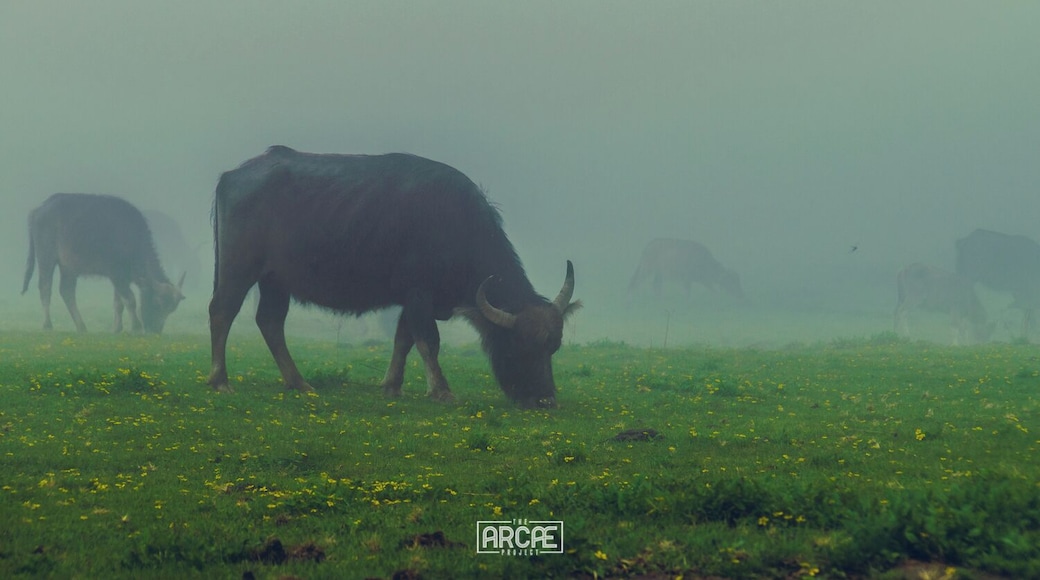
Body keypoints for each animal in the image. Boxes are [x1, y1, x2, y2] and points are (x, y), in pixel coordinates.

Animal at [22, 193, 185, 334]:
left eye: (171, 309)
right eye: (158, 303)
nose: (155, 330)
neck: (131, 240)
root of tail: (39, 210)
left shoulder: (122, 278)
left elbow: (119, 303)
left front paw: (116, 328)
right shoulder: (117, 275)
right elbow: (130, 300)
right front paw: (136, 327)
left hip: (68, 268)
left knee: (66, 291)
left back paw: (81, 326)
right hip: (46, 258)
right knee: (45, 288)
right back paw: (47, 325)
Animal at [207, 146, 581, 408]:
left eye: (553, 347)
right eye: (520, 346)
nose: (545, 400)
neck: (456, 226)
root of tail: (231, 176)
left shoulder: (411, 299)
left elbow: (404, 340)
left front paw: (391, 385)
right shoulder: (419, 294)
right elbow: (428, 340)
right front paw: (441, 390)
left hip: (275, 280)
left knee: (270, 321)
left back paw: (298, 382)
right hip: (239, 267)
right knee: (222, 311)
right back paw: (220, 380)